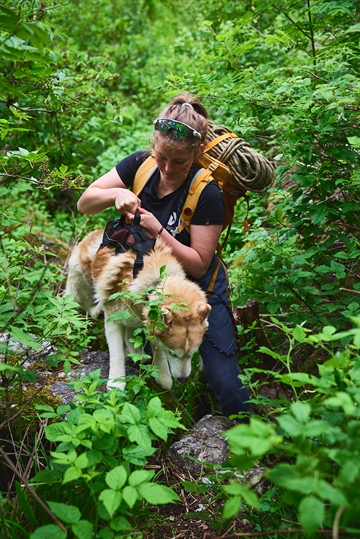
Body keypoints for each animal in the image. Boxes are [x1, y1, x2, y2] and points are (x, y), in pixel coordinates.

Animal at [64, 230, 211, 390]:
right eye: (173, 353)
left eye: (192, 353)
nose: (183, 379)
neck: (153, 283)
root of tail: (95, 232)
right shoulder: (113, 320)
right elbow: (117, 353)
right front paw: (116, 382)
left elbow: (157, 350)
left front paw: (163, 375)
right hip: (79, 282)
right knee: (75, 301)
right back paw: (91, 311)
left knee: (130, 333)